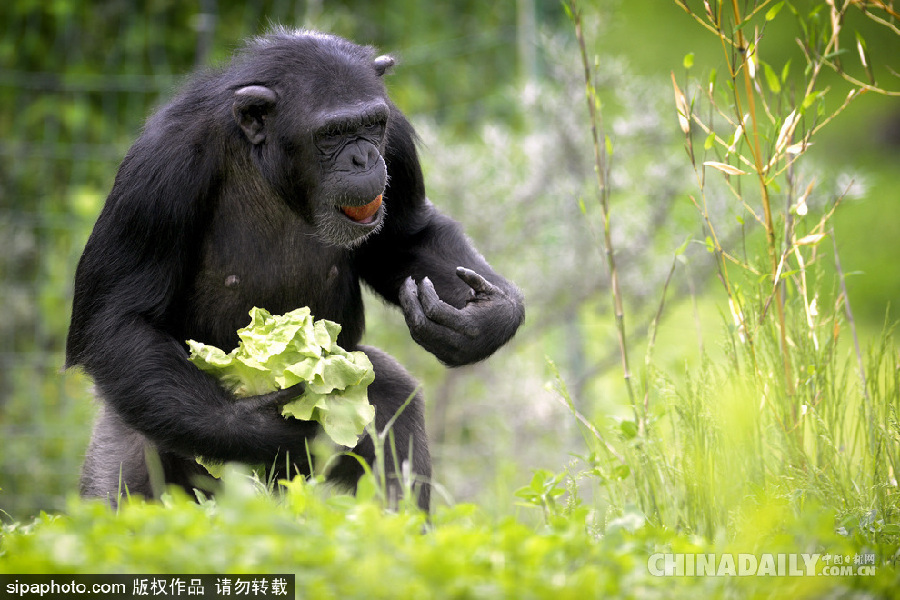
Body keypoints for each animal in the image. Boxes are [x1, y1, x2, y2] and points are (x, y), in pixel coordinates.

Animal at [67, 25, 524, 508]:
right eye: (332, 134)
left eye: (371, 125)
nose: (364, 158)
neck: (270, 168)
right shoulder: (157, 171)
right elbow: (119, 318)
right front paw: (269, 428)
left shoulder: (396, 137)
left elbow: (404, 236)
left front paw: (483, 319)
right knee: (121, 485)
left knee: (394, 405)